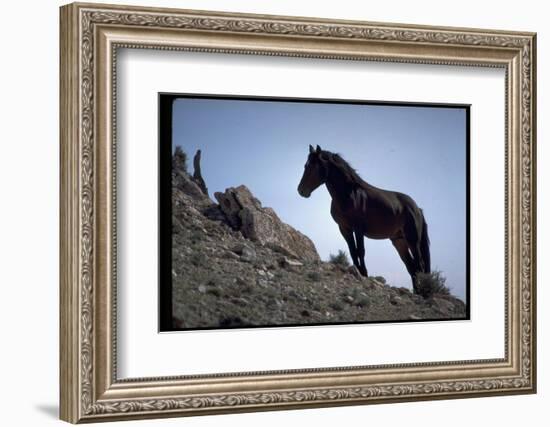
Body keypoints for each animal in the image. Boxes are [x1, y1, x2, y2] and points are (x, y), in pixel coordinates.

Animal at [298, 145, 432, 294]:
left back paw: (422, 291)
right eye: (306, 165)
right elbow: (352, 251)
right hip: (399, 241)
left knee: (419, 265)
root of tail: (417, 208)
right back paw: (417, 291)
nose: (301, 190)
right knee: (411, 267)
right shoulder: (344, 228)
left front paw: (364, 273)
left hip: (412, 240)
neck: (349, 194)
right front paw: (358, 271)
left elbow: (361, 251)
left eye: (312, 166)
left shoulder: (359, 229)